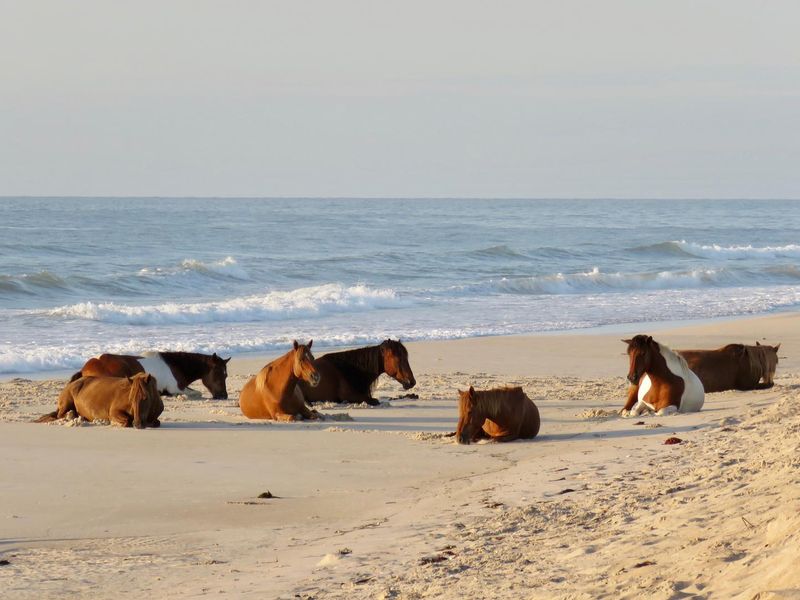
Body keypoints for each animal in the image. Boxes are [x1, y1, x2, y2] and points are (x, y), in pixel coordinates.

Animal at [71, 351, 231, 399]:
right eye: (218, 373)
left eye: (226, 375)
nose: (223, 396)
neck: (174, 365)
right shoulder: (175, 389)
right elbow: (197, 393)